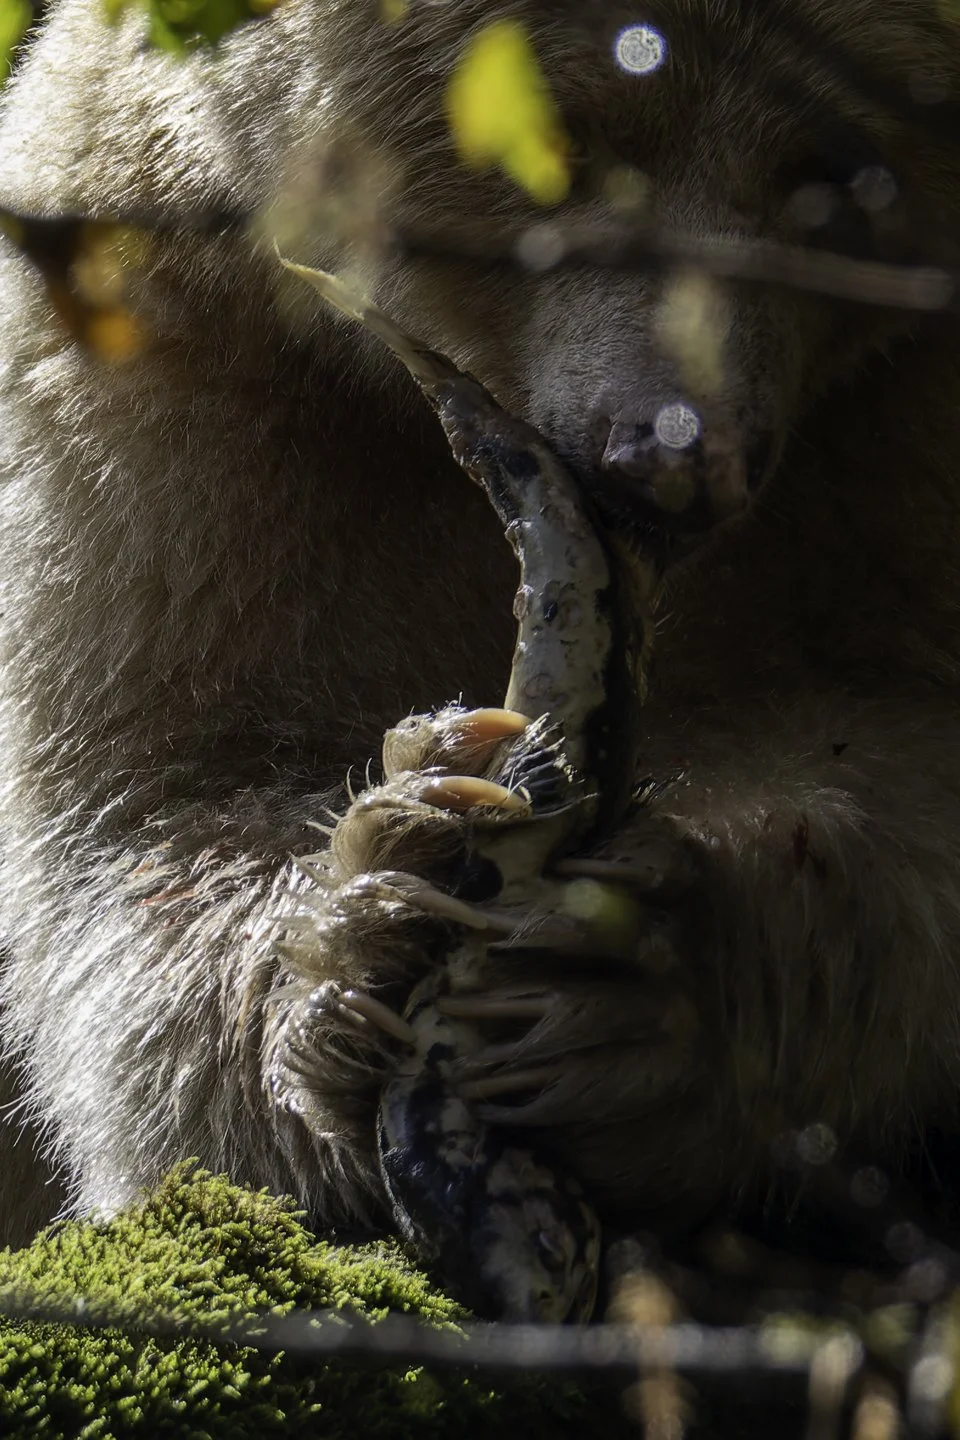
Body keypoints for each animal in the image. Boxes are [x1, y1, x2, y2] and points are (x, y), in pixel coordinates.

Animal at [0, 0, 959, 1261]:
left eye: (841, 175)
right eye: (562, 140)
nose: (676, 456)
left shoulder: (900, 448)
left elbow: (902, 763)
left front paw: (636, 983)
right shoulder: (159, 396)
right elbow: (146, 815)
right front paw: (372, 919)